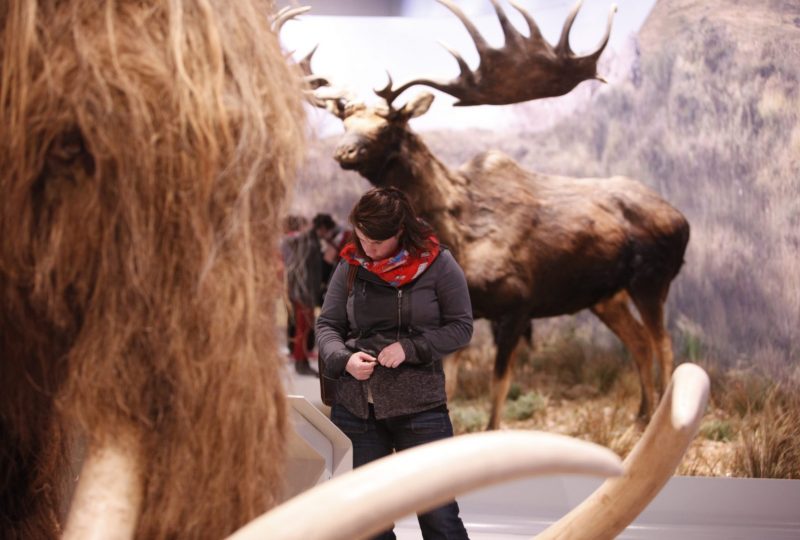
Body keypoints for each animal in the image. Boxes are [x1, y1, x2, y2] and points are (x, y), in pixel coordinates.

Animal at [316, 1, 692, 430]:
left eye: (388, 125)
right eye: (345, 122)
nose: (343, 151)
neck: (461, 238)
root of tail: (682, 220)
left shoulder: (517, 305)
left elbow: (498, 392)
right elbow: (452, 385)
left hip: (652, 279)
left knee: (664, 344)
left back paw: (662, 416)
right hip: (607, 295)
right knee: (640, 342)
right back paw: (641, 415)